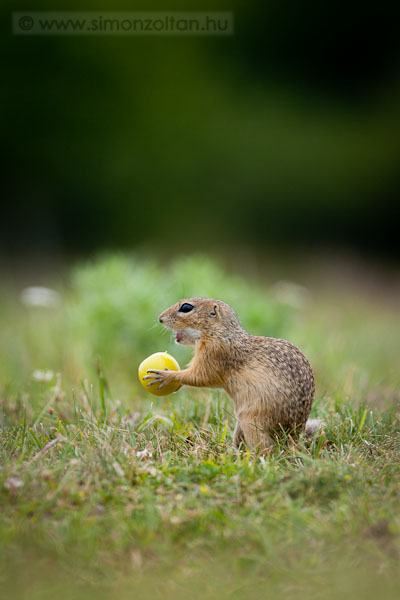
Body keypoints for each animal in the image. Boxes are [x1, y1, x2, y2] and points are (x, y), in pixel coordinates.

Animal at [144, 298, 316, 448]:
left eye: (186, 307)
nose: (160, 319)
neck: (219, 333)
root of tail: (292, 437)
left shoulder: (213, 355)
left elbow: (198, 377)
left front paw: (165, 376)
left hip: (251, 421)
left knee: (266, 448)